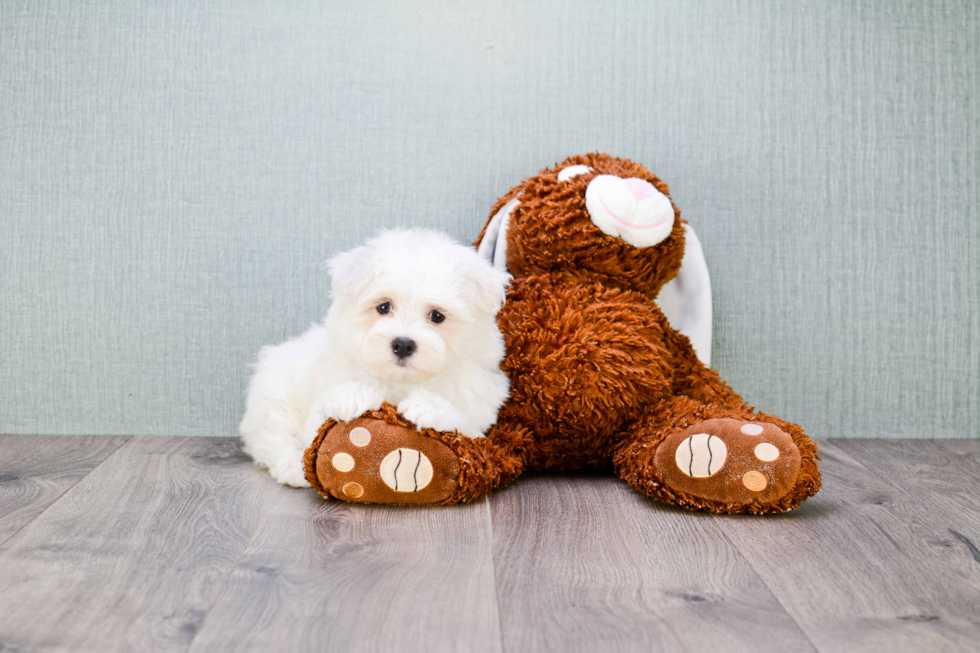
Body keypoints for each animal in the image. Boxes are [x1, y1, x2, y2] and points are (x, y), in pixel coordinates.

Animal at [240, 227, 510, 486]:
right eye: (383, 307)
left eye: (437, 316)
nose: (403, 344)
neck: (401, 381)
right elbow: (318, 423)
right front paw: (351, 396)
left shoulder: (480, 411)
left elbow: (467, 426)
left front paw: (430, 406)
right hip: (272, 396)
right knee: (272, 437)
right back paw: (294, 469)